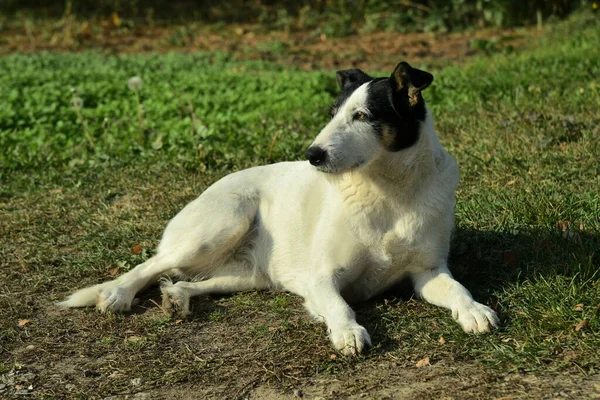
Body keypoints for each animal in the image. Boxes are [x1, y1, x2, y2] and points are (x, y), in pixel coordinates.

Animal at [58, 62, 500, 356]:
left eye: (362, 116)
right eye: (332, 114)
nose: (312, 155)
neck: (388, 193)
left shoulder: (428, 272)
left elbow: (458, 289)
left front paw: (475, 310)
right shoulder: (322, 279)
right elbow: (341, 306)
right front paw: (347, 331)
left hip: (248, 275)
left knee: (186, 279)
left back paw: (177, 298)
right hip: (221, 225)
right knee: (149, 265)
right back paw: (117, 294)